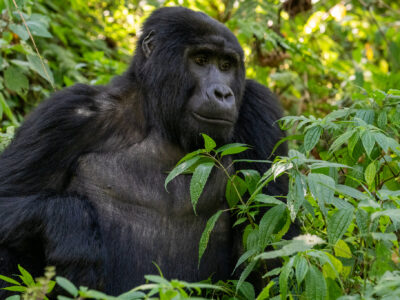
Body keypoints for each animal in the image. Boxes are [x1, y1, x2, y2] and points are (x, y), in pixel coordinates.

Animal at [0, 5, 288, 296]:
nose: (223, 93)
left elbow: (275, 249)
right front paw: (71, 226)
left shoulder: (258, 108)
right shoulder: (67, 114)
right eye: (201, 59)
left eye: (226, 65)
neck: (159, 119)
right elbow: (10, 196)